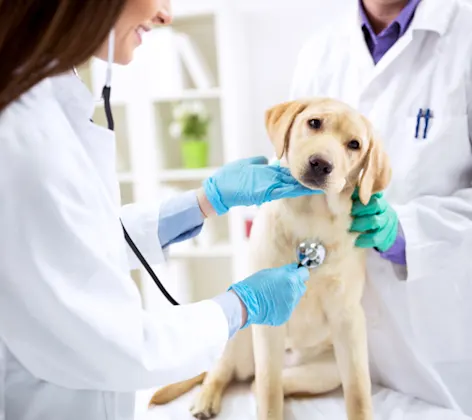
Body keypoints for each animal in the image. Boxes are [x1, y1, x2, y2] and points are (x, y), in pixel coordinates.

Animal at [149, 97, 390, 420]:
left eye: (354, 144)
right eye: (314, 123)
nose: (321, 163)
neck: (312, 216)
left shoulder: (349, 321)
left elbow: (358, 393)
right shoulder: (266, 324)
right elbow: (268, 387)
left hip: (325, 371)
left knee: (259, 384)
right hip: (241, 334)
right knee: (225, 372)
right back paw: (206, 398)